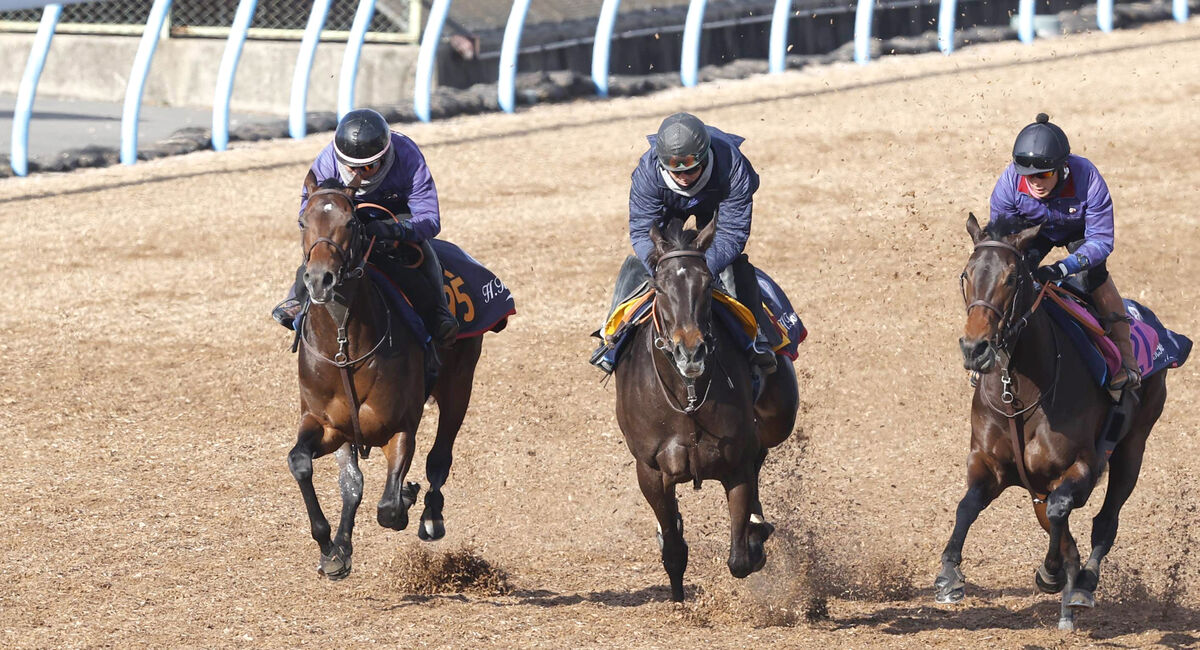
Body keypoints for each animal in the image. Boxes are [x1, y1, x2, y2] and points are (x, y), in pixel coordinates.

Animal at [285, 177, 487, 580]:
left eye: (351, 222)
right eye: (302, 221)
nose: (319, 280)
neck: (344, 348)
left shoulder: (400, 428)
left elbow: (389, 509)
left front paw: (407, 495)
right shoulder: (326, 425)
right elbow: (307, 465)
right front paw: (332, 549)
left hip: (459, 385)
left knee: (440, 456)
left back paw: (430, 514)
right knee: (353, 483)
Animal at [619, 221, 796, 604]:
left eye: (706, 282)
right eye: (659, 286)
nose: (691, 352)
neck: (687, 398)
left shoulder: (736, 463)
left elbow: (740, 560)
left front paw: (755, 539)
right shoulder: (650, 469)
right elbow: (672, 546)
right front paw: (678, 595)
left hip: (779, 417)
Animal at [936, 213, 1171, 633]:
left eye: (1012, 278)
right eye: (967, 274)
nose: (975, 349)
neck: (1020, 389)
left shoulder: (1082, 466)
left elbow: (1063, 512)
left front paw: (1051, 574)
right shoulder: (990, 465)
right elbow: (967, 506)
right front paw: (949, 575)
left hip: (1133, 448)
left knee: (1105, 520)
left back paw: (1083, 586)